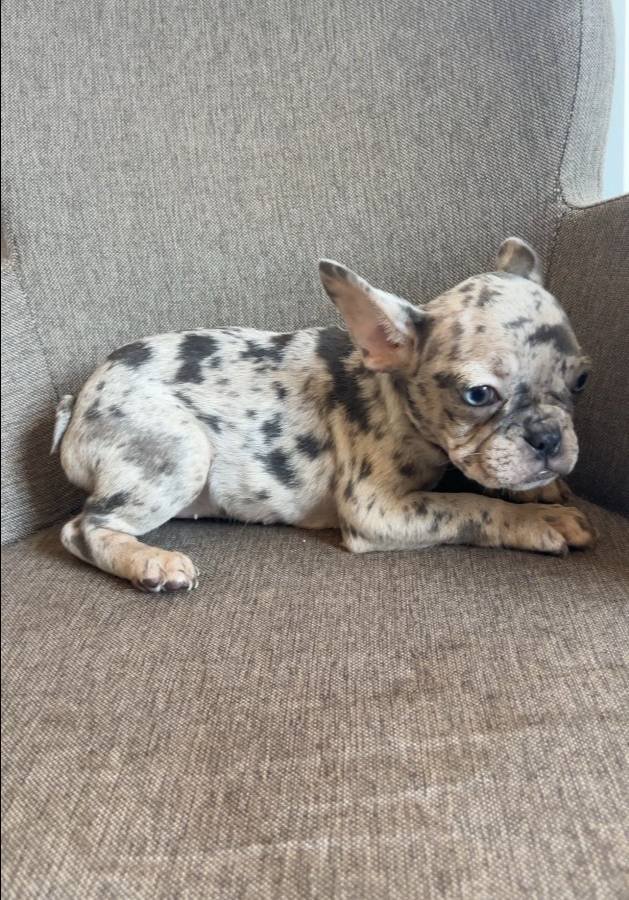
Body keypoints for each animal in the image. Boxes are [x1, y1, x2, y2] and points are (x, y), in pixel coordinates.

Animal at [53, 238, 595, 592]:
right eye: (479, 395)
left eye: (581, 381)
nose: (548, 438)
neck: (394, 395)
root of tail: (76, 405)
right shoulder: (377, 509)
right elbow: (468, 505)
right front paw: (537, 520)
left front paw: (543, 490)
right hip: (182, 451)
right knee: (82, 529)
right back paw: (149, 563)